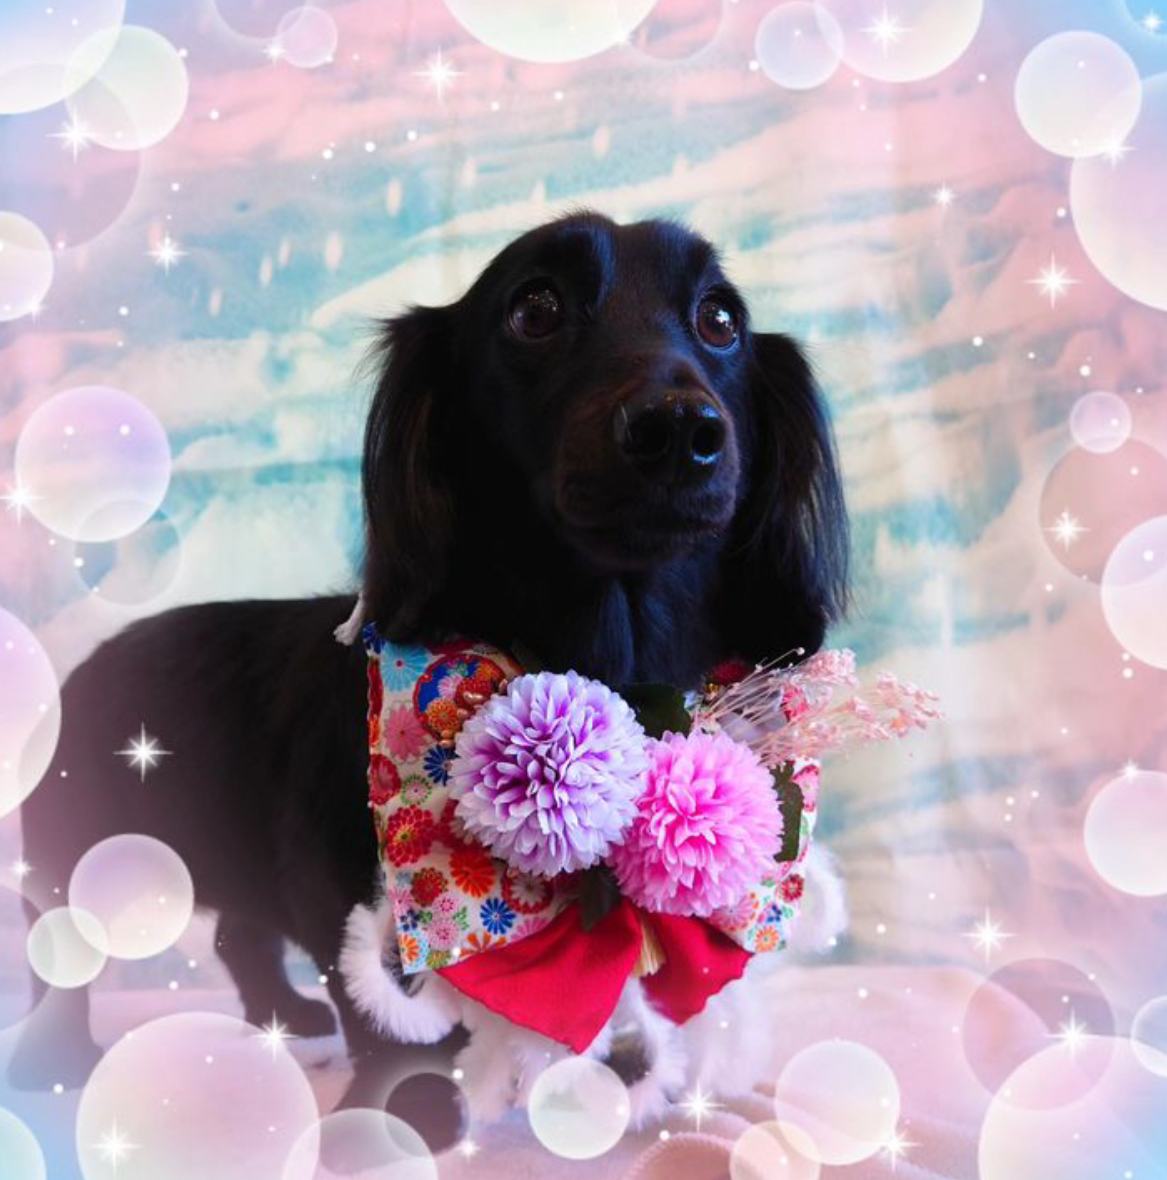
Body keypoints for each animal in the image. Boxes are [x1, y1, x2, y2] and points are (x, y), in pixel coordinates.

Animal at [13, 211, 849, 1132]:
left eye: (720, 319)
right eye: (534, 308)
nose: (678, 430)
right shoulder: (341, 888)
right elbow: (382, 1011)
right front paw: (406, 1114)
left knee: (239, 937)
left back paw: (283, 1017)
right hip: (71, 865)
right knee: (62, 962)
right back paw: (57, 1058)